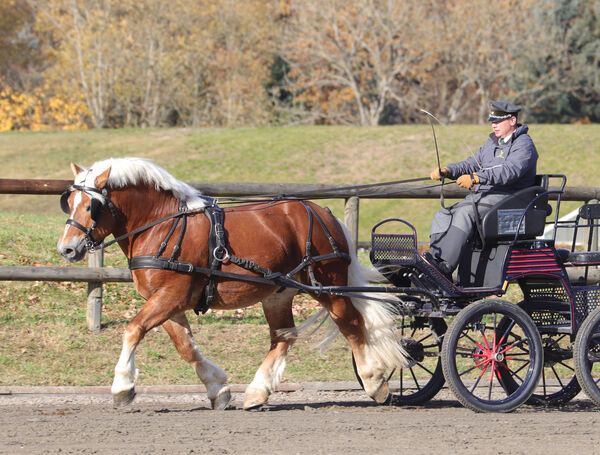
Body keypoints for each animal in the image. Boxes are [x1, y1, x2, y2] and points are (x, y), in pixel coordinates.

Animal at [56, 159, 410, 412]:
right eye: (69, 201)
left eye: (90, 206)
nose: (67, 249)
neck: (161, 223)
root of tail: (322, 212)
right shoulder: (167, 302)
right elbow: (185, 346)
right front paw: (219, 389)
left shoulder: (172, 295)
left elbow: (133, 330)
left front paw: (122, 387)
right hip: (278, 292)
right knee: (283, 338)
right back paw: (257, 392)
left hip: (328, 285)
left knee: (351, 324)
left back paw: (374, 382)